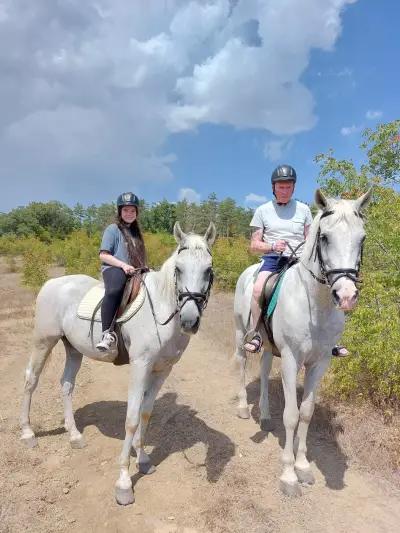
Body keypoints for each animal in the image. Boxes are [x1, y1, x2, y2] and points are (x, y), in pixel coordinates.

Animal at [19, 220, 216, 502]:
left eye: (208, 270)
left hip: (73, 348)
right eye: (178, 269)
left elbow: (145, 413)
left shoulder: (162, 370)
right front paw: (123, 482)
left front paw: (143, 460)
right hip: (43, 341)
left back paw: (74, 435)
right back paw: (28, 433)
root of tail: (52, 283)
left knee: (66, 385)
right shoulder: (140, 366)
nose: (190, 321)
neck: (160, 311)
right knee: (31, 380)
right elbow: (132, 419)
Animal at [233, 190, 370, 494]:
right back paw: (242, 408)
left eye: (362, 238)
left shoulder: (320, 362)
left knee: (262, 372)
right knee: (242, 365)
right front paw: (288, 475)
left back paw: (264, 416)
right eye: (325, 237)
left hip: (269, 347)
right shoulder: (291, 360)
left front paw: (303, 465)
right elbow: (291, 415)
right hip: (240, 334)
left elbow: (306, 412)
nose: (346, 295)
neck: (315, 306)